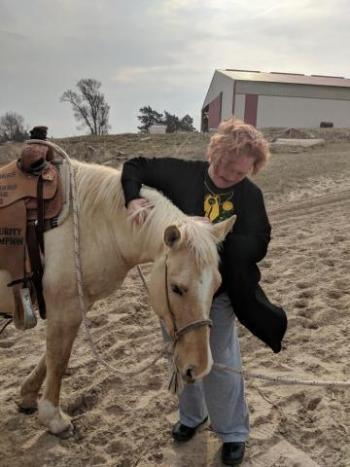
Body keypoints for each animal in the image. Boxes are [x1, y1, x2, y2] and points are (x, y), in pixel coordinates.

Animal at [0, 159, 237, 436]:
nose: (199, 368)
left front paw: (27, 396)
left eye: (217, 285)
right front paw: (54, 418)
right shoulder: (64, 306)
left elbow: (50, 356)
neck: (95, 223)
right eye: (177, 288)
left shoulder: (76, 305)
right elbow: (58, 358)